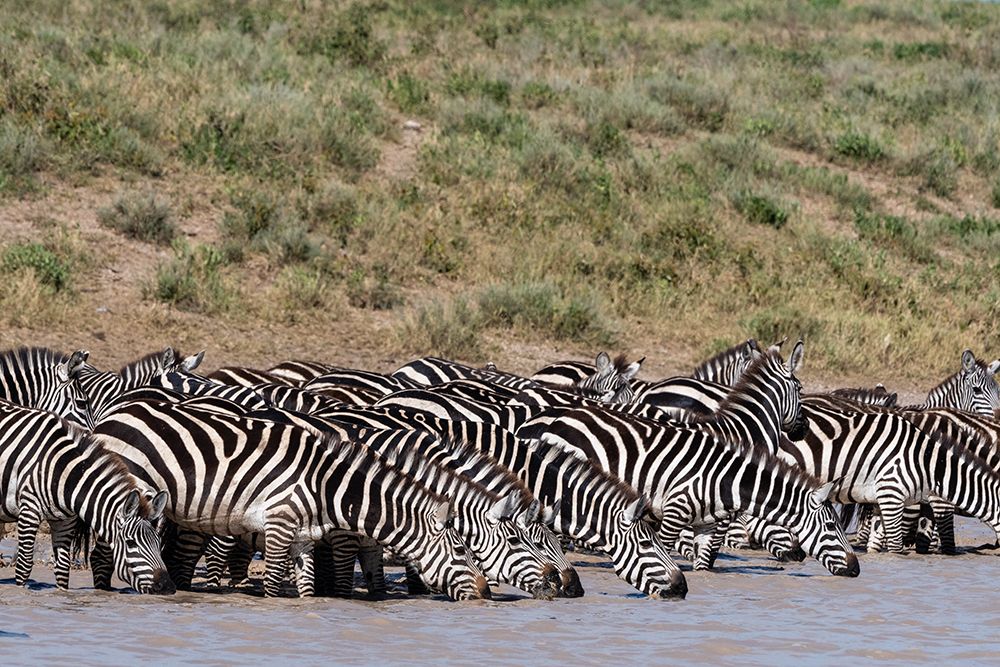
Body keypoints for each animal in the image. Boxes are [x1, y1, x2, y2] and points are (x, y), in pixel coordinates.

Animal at [0, 400, 172, 593]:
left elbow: (62, 569)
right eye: (131, 543)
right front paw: (20, 591)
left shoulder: (65, 521)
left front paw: (62, 595)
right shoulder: (29, 510)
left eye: (158, 542)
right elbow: (24, 565)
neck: (64, 473)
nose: (167, 588)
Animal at [91, 399, 490, 599]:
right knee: (102, 550)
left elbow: (309, 591)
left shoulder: (303, 538)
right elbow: (271, 586)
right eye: (461, 550)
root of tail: (113, 415)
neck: (325, 486)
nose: (485, 593)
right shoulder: (279, 526)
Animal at [516, 406, 859, 577]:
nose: (856, 570)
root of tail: (545, 419)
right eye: (832, 526)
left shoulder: (707, 524)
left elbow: (703, 564)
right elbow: (664, 549)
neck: (725, 479)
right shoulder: (674, 511)